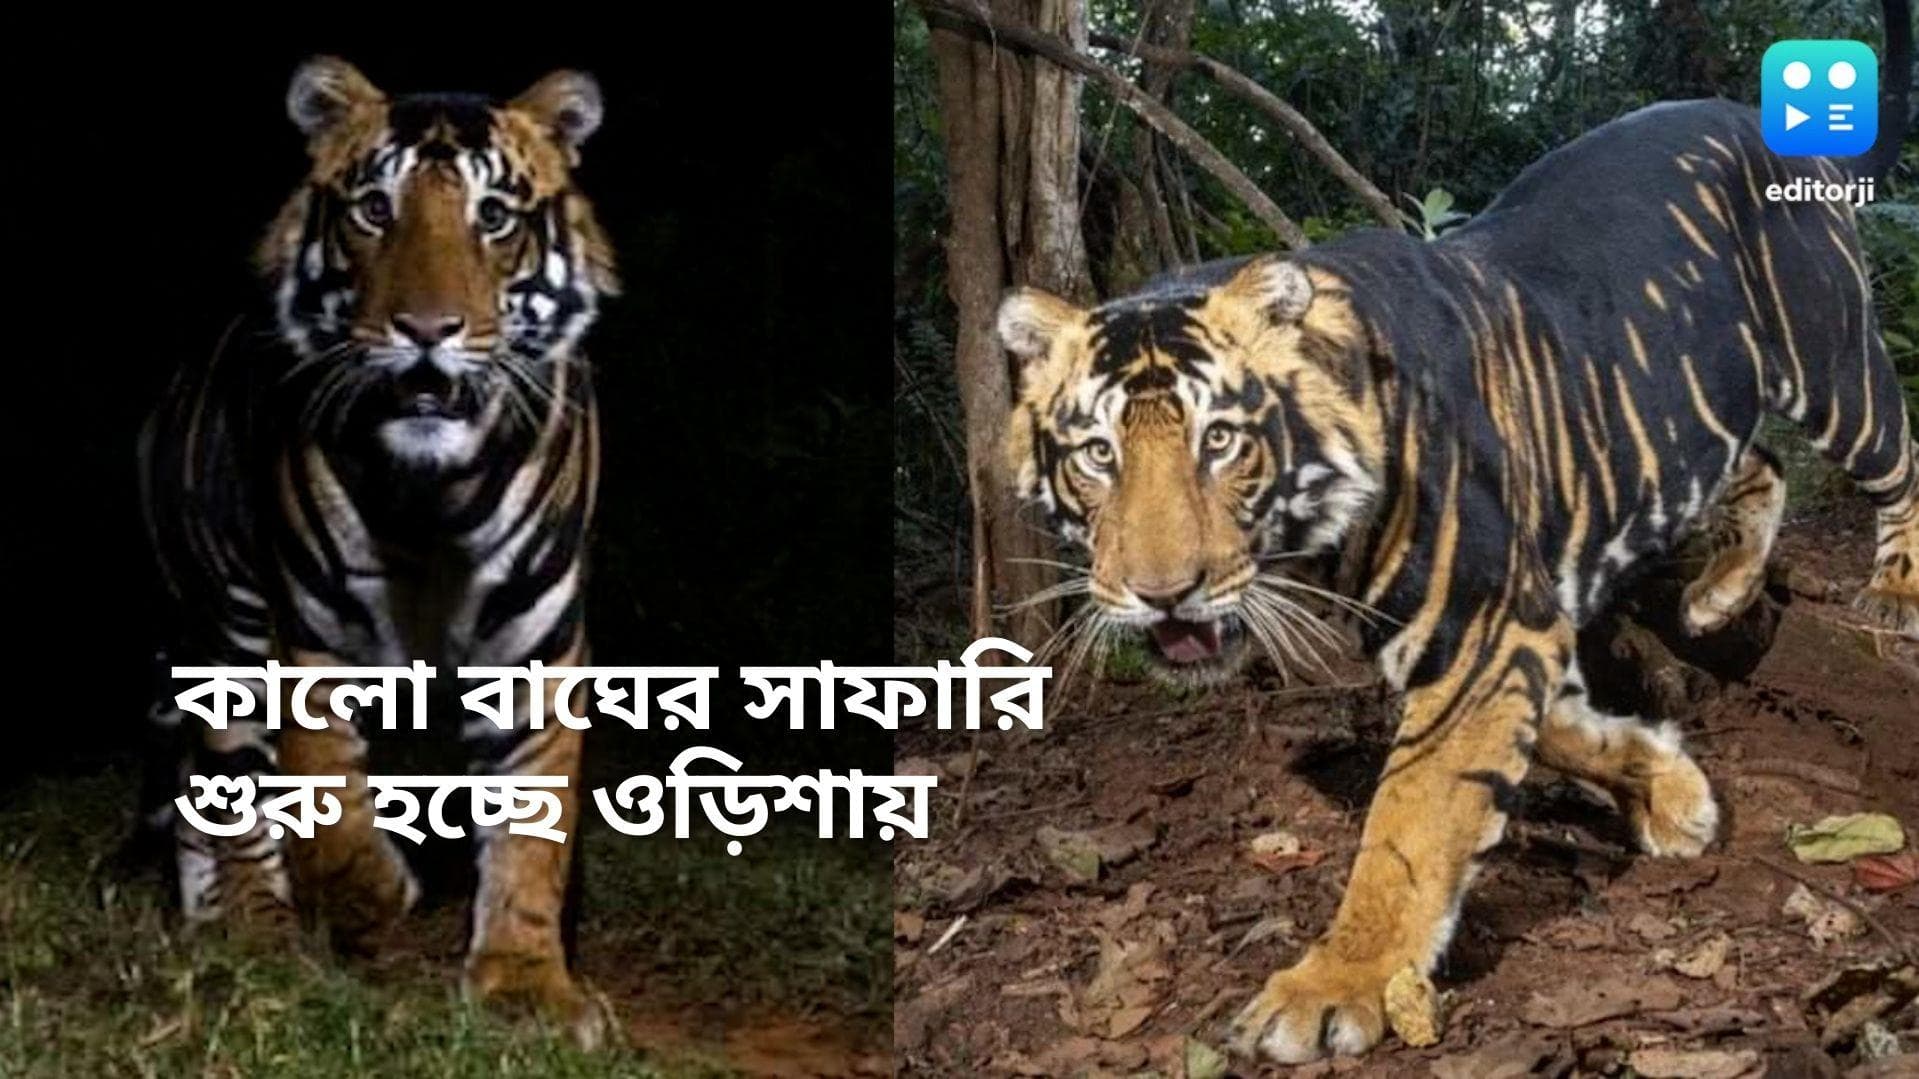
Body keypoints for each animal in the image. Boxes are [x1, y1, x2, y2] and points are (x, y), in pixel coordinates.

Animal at [136, 57, 617, 1046]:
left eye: (493, 216)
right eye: (372, 208)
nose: (426, 330)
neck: (434, 496)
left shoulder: (535, 647)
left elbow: (532, 826)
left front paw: (525, 986)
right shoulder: (310, 633)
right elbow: (323, 793)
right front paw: (376, 894)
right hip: (222, 624)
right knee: (222, 791)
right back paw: (255, 933)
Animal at [995, 93, 1918, 1061]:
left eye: (1220, 441)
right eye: (1098, 454)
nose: (1162, 591)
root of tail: (1745, 109)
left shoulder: (1482, 627)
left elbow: (1410, 821)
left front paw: (1332, 986)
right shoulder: (1508, 629)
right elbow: (1555, 733)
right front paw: (1672, 791)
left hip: (1833, 359)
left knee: (1898, 457)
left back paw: (1893, 587)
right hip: (1696, 406)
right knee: (1760, 464)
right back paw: (1718, 594)